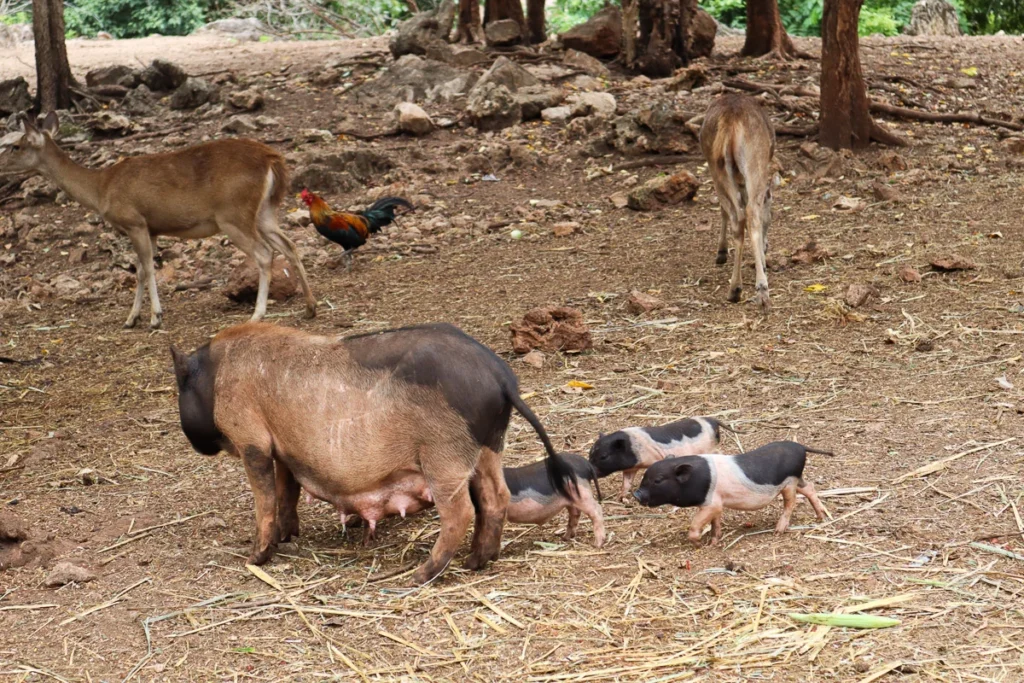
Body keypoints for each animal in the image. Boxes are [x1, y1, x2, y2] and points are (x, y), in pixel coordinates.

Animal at [170, 322, 578, 584]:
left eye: (181, 391)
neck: (216, 375)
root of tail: (501, 378)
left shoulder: (250, 435)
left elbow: (265, 496)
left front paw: (254, 558)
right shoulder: (283, 448)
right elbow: (288, 491)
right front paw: (288, 536)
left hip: (443, 455)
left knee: (459, 511)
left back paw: (419, 576)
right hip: (488, 447)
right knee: (496, 497)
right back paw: (477, 562)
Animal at [588, 417, 734, 501]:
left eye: (604, 456)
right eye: (590, 454)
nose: (590, 471)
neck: (633, 447)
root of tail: (713, 421)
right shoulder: (631, 468)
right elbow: (626, 483)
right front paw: (621, 499)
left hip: (710, 448)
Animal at [631, 441, 831, 545]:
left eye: (658, 480)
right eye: (645, 476)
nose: (636, 494)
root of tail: (800, 446)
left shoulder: (711, 503)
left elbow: (696, 525)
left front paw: (697, 542)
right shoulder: (716, 504)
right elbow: (716, 522)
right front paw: (714, 541)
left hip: (789, 483)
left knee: (791, 502)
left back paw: (778, 531)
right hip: (796, 480)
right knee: (810, 488)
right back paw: (821, 517)